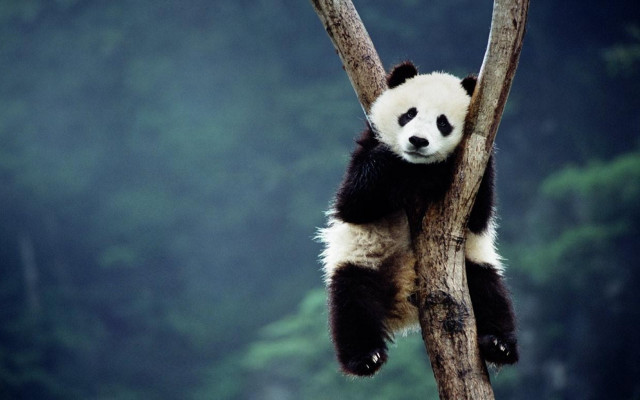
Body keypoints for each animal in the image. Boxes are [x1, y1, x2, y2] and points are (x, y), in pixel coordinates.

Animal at [318, 61, 518, 377]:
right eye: (409, 114)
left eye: (443, 123)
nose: (417, 141)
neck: (416, 168)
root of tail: (404, 303)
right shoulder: (367, 147)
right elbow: (354, 201)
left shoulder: (476, 166)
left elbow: (479, 215)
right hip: (362, 260)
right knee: (352, 304)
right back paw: (366, 357)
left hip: (471, 266)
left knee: (490, 293)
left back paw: (499, 344)